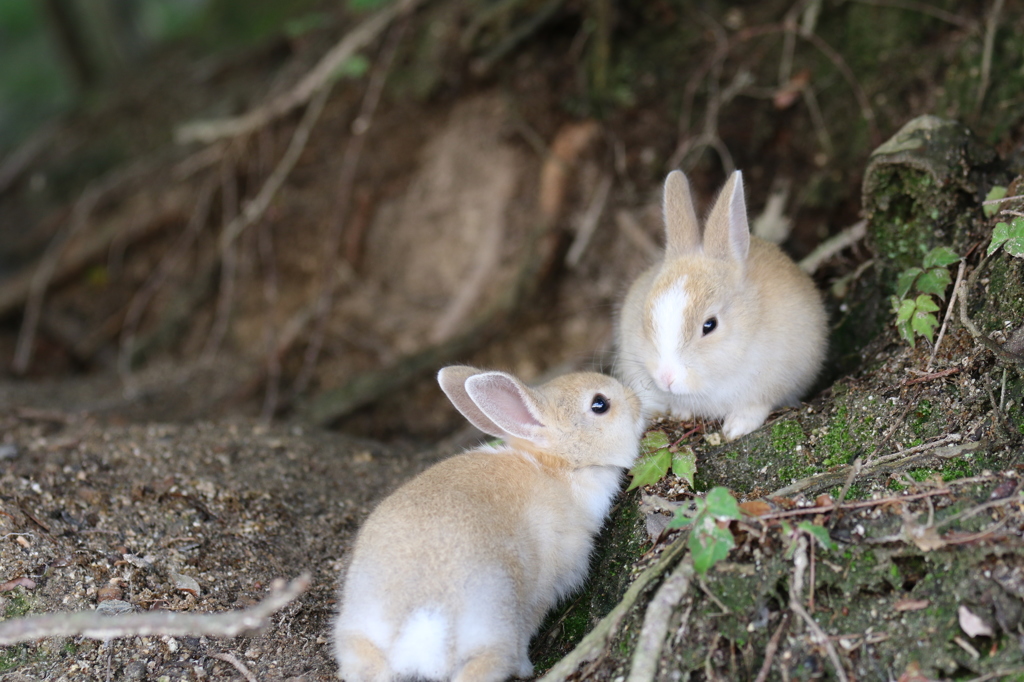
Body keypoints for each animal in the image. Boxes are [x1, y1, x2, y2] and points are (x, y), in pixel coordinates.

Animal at [614, 166, 823, 438]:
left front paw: (735, 429)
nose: (666, 378)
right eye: (645, 321)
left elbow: (755, 406)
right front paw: (681, 412)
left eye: (709, 325)